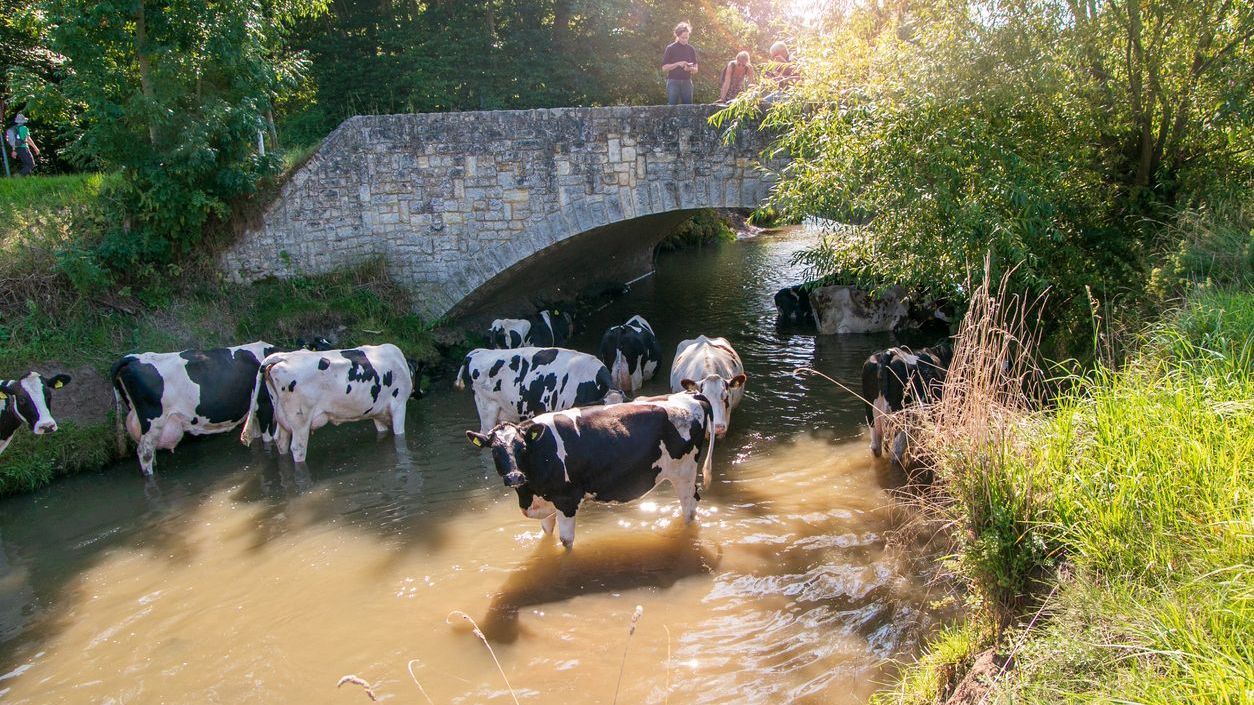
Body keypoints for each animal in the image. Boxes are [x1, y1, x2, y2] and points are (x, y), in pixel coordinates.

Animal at [112, 342, 279, 476]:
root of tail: (133, 358)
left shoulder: (255, 412)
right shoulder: (265, 406)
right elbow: (268, 441)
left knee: (150, 453)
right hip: (153, 421)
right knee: (144, 453)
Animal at [241, 344, 415, 463]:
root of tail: (282, 357)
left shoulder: (377, 413)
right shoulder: (399, 405)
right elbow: (400, 436)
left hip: (282, 417)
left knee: (280, 441)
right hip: (300, 421)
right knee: (297, 448)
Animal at [465, 392, 715, 548]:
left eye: (521, 447)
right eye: (495, 451)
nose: (515, 476)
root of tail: (692, 395)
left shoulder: (566, 500)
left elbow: (566, 543)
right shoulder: (545, 503)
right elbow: (546, 535)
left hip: (684, 472)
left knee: (689, 508)